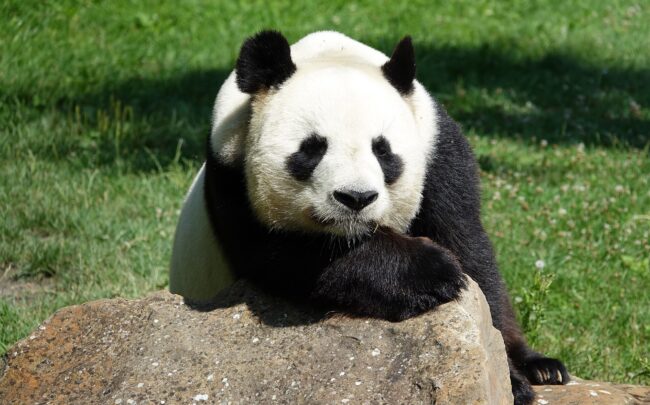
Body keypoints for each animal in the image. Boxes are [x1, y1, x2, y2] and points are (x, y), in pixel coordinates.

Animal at [170, 30, 568, 405]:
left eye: (383, 150)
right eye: (312, 148)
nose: (356, 198)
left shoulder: (439, 153)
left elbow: (471, 251)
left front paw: (512, 378)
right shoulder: (231, 176)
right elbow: (289, 255)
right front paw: (431, 272)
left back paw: (543, 368)